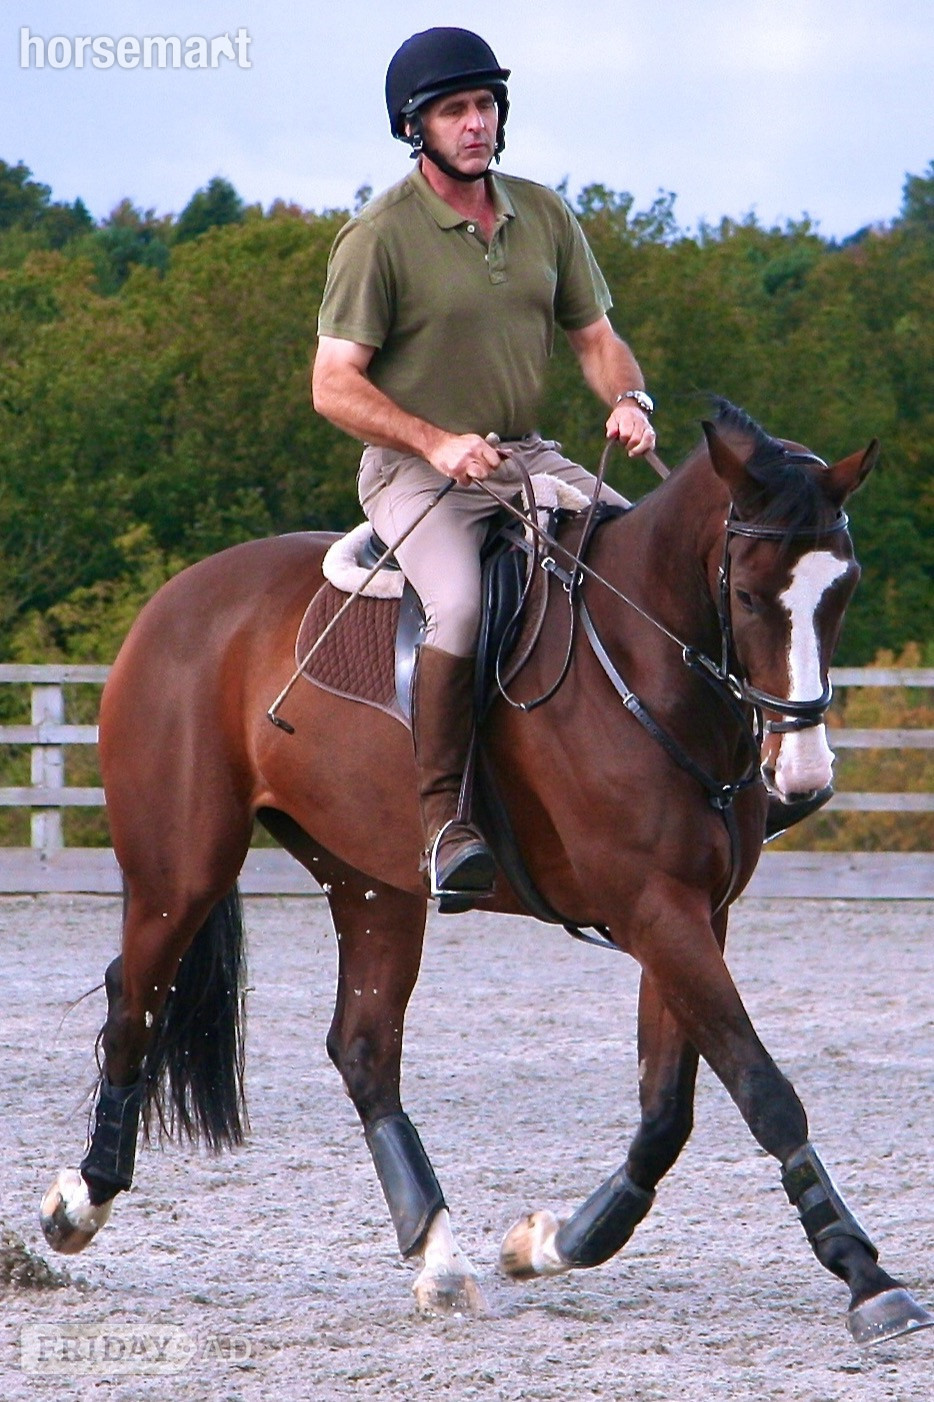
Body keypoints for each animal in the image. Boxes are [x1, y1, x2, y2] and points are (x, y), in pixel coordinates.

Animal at [39, 400, 932, 1345]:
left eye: (843, 590)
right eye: (752, 594)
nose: (804, 777)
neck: (642, 661)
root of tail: (178, 599)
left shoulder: (693, 912)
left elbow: (666, 1111)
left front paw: (553, 1241)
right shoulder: (656, 909)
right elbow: (762, 1089)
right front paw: (865, 1275)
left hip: (373, 884)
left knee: (362, 1051)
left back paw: (438, 1256)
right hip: (181, 872)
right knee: (134, 1004)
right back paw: (78, 1204)